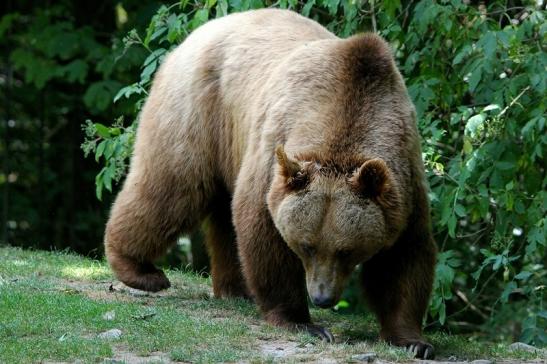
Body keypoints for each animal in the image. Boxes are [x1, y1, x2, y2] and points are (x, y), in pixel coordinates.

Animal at [104, 7, 436, 358]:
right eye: (307, 245)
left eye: (347, 250)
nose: (322, 298)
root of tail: (200, 31)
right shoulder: (275, 150)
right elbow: (263, 230)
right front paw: (302, 322)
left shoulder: (403, 178)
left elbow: (404, 256)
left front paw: (412, 340)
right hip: (199, 111)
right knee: (172, 188)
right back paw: (142, 271)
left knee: (221, 216)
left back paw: (236, 289)